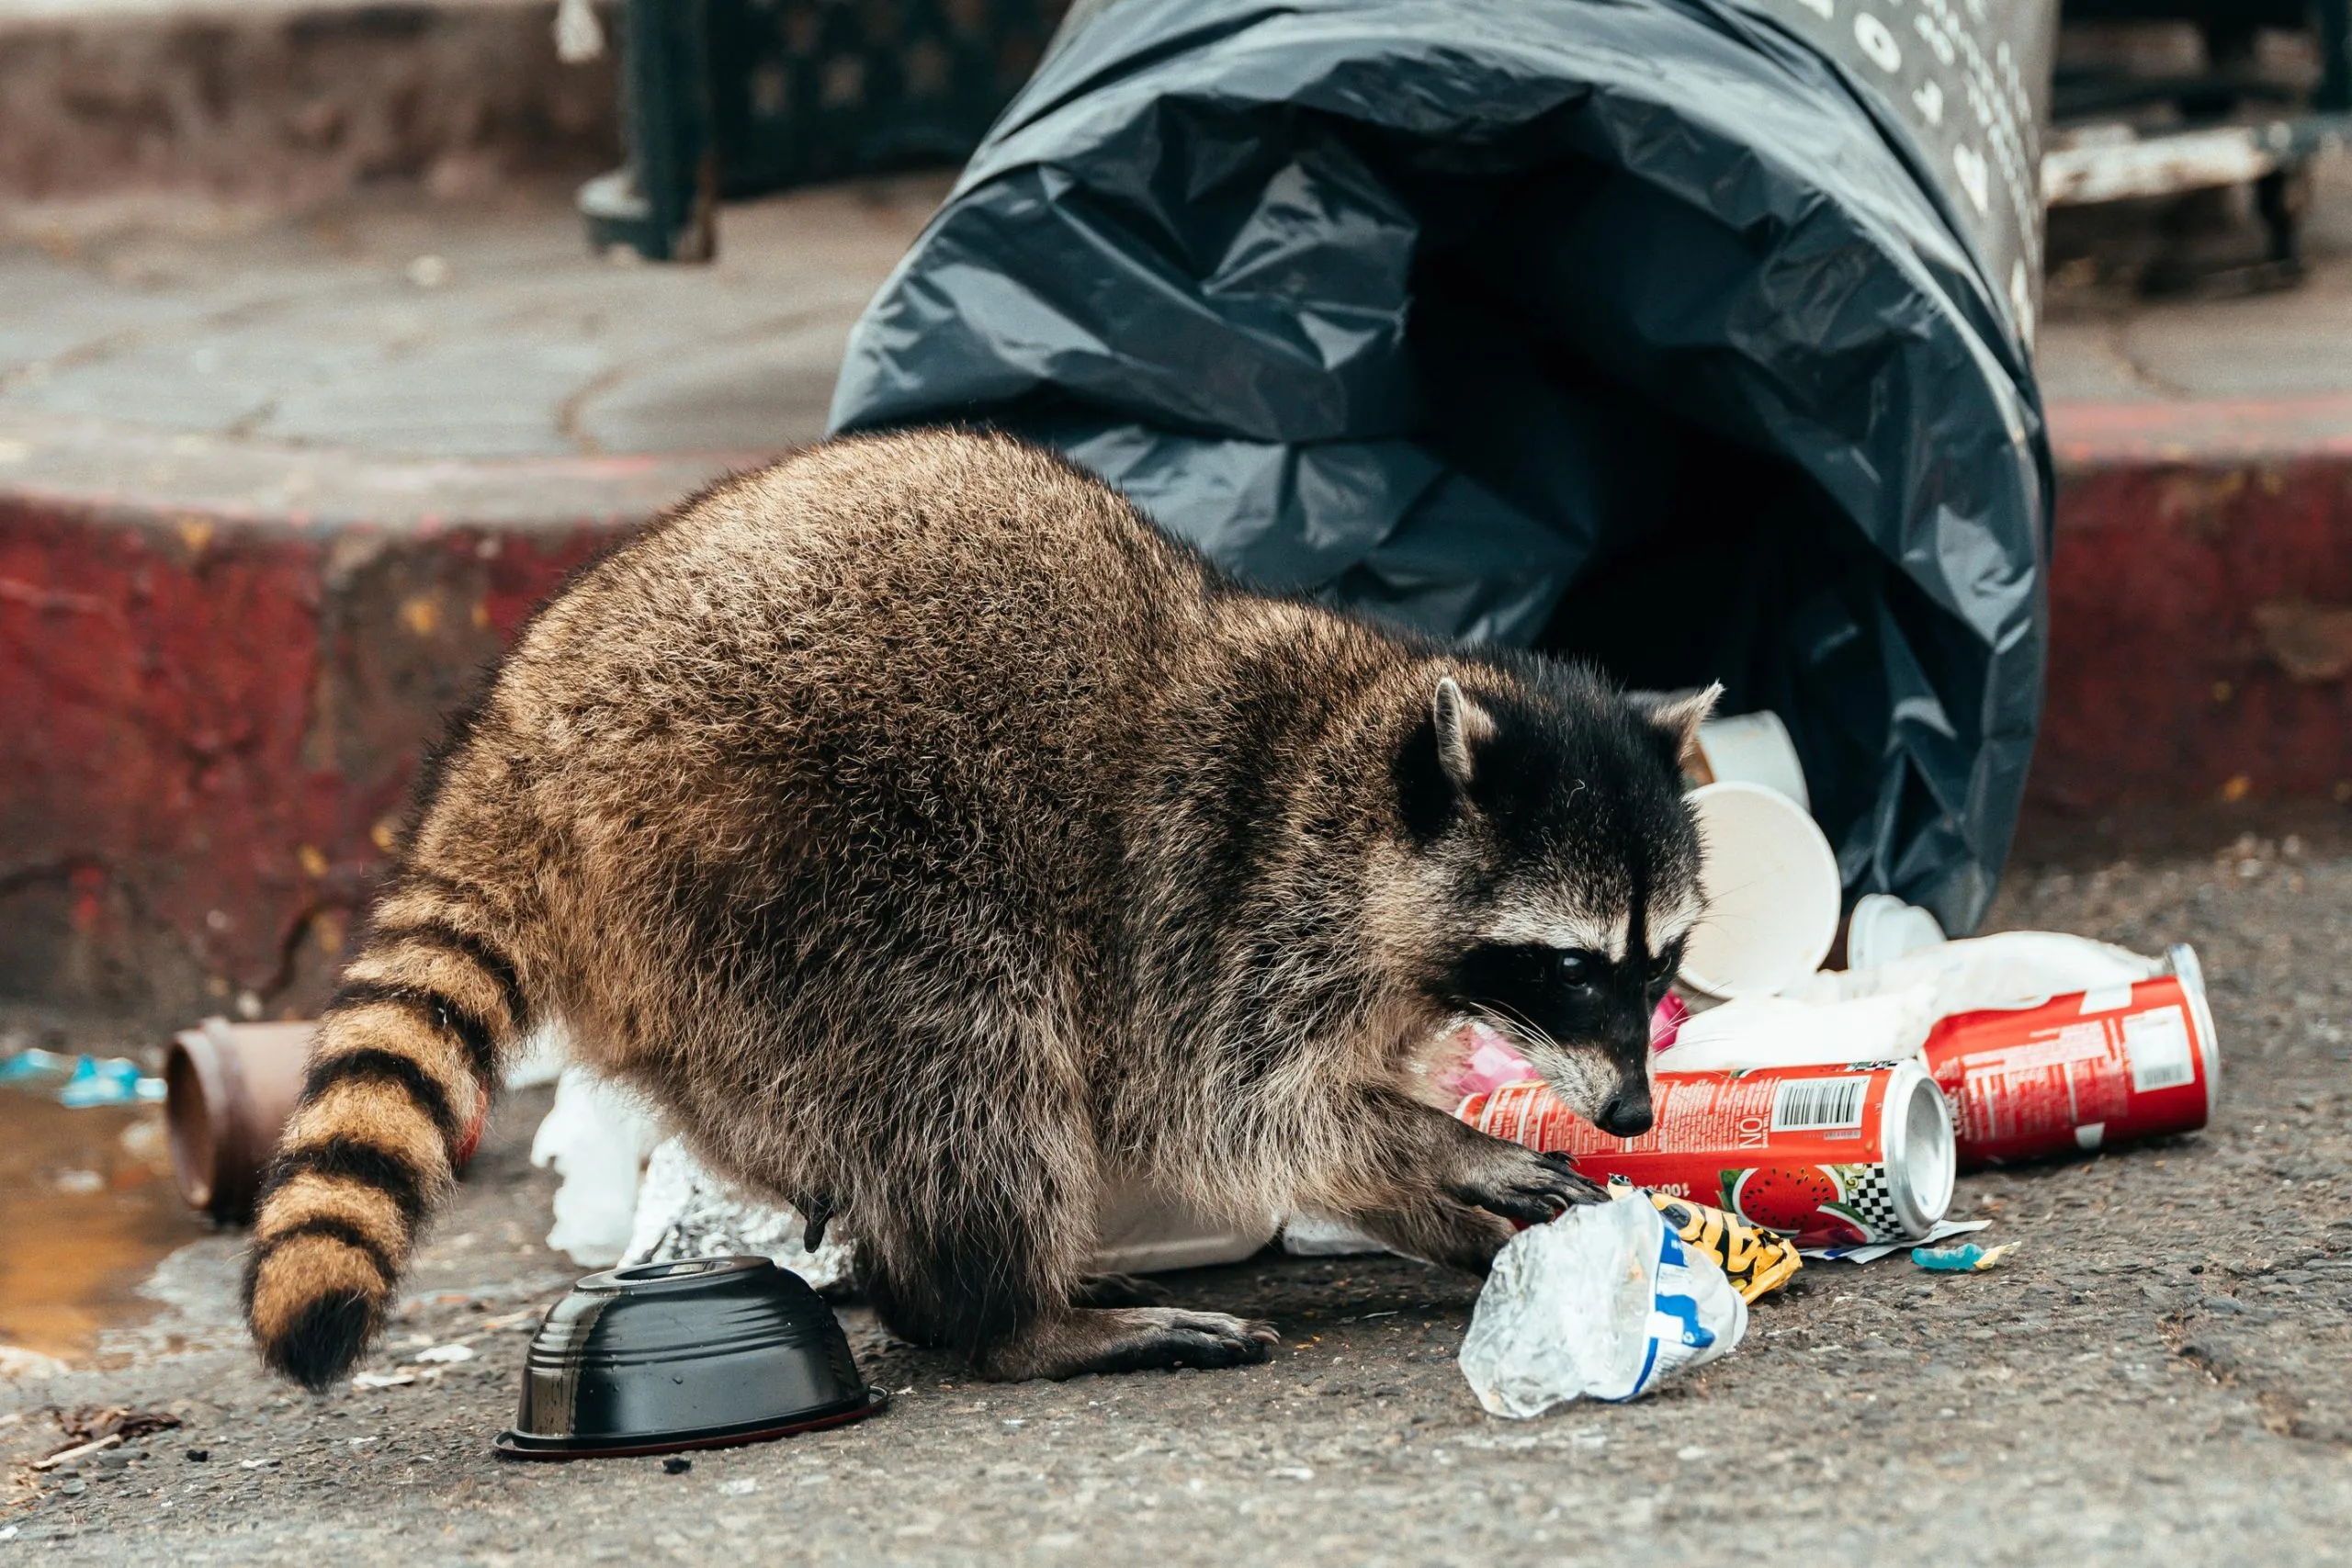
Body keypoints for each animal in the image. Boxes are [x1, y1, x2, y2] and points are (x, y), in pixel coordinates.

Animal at [244, 428, 1714, 1390]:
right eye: (1571, 966)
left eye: (1663, 965)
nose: (1636, 1112)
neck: (1360, 762)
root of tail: (527, 734)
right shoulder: (1223, 905)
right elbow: (1238, 1108)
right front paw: (1442, 1149)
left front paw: (1441, 1200)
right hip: (804, 864)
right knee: (965, 1064)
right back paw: (1009, 1316)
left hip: (699, 965)